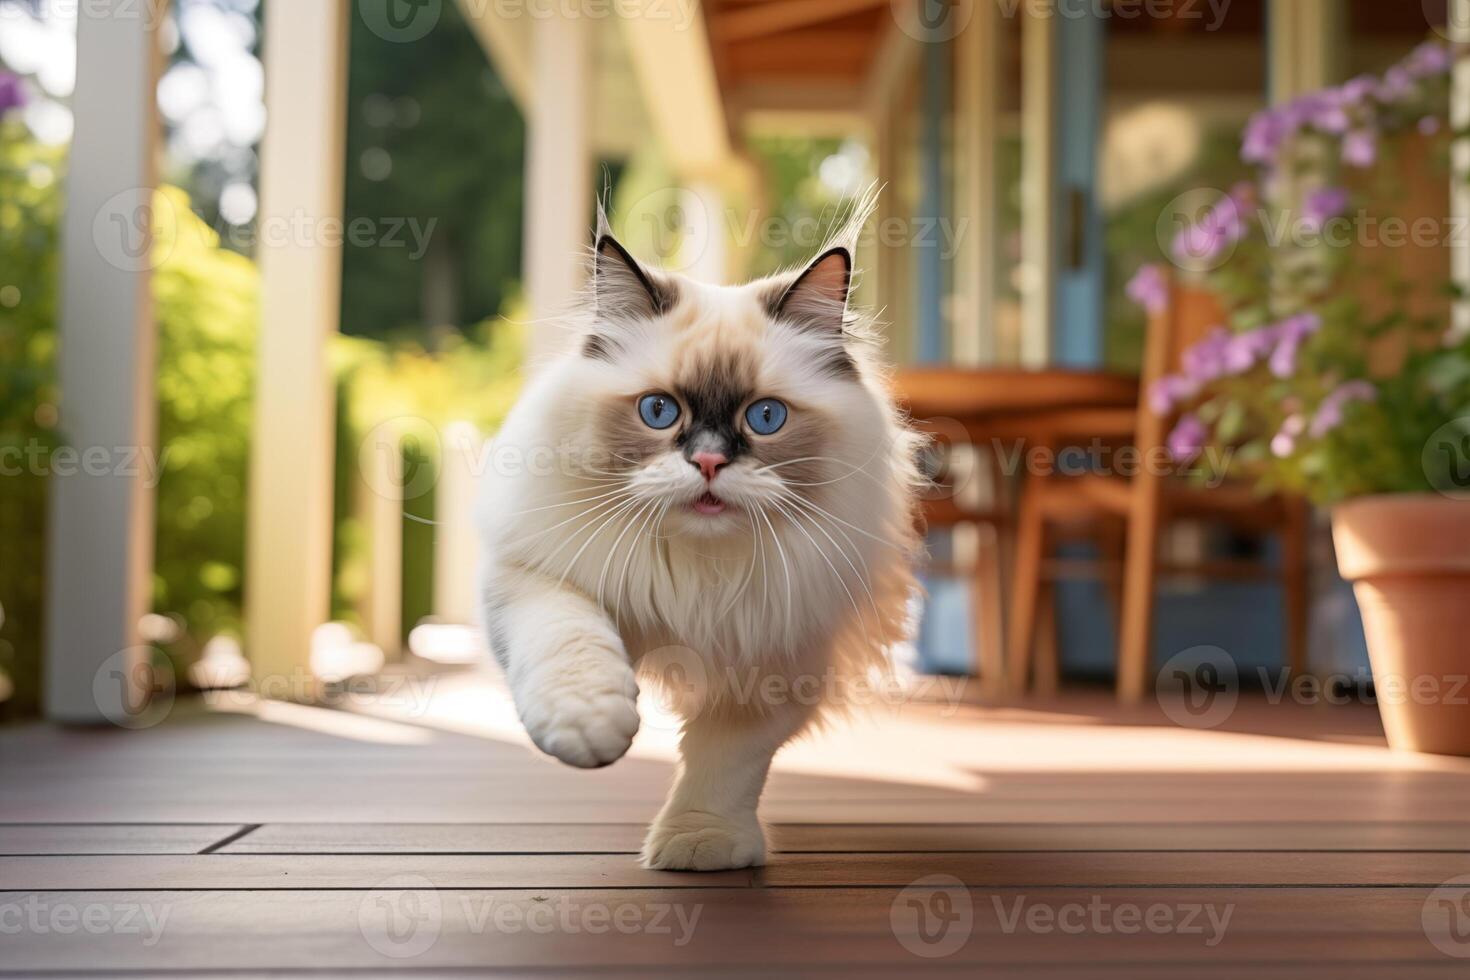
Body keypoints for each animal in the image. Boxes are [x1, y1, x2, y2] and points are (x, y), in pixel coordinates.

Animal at [479, 211, 917, 869]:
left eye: (765, 418)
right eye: (659, 411)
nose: (709, 462)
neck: (697, 574)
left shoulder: (776, 663)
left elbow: (723, 764)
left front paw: (699, 845)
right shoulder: (533, 575)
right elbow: (570, 642)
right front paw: (591, 730)